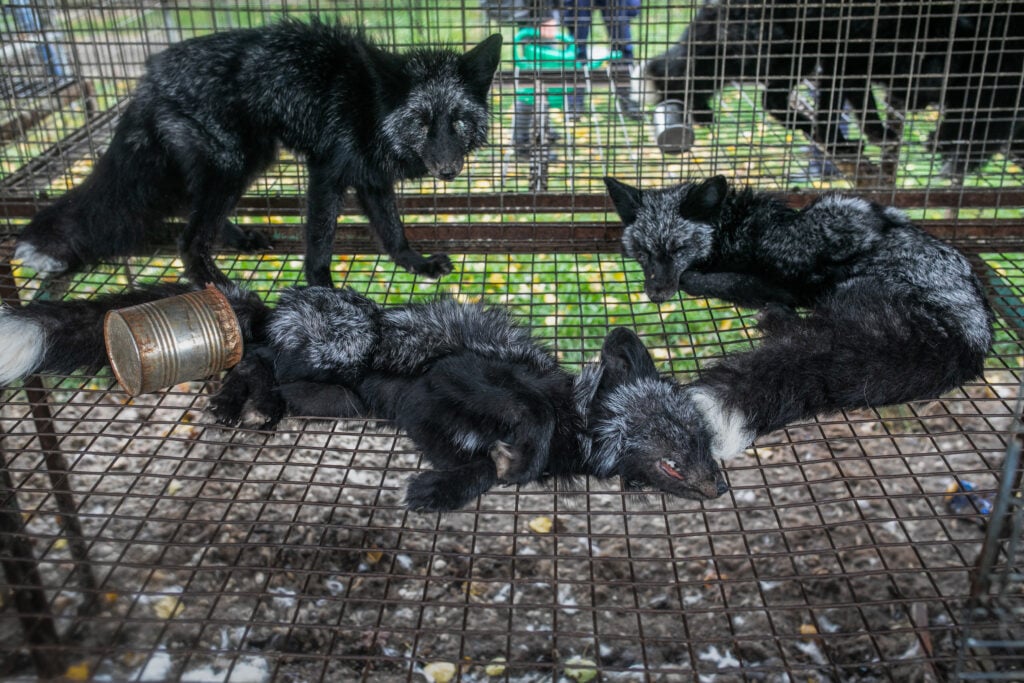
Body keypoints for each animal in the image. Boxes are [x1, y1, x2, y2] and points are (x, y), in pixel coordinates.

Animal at [0, 282, 729, 511]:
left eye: (706, 438)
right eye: (680, 437)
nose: (721, 485)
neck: (578, 422)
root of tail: (279, 305)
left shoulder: (426, 422)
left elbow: (477, 471)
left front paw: (442, 490)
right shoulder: (454, 379)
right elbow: (527, 422)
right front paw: (515, 457)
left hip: (332, 397)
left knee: (267, 372)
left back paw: (256, 408)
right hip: (343, 344)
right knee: (257, 355)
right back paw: (233, 402)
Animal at [12, 15, 499, 288]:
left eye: (458, 121)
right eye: (420, 122)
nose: (448, 169)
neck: (368, 109)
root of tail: (148, 78)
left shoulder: (372, 179)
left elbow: (393, 232)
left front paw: (414, 263)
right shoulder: (327, 172)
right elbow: (319, 242)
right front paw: (323, 289)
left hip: (242, 161)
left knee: (191, 210)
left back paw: (237, 240)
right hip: (234, 162)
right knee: (188, 238)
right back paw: (218, 285)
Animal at [602, 175, 995, 464]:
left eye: (679, 248)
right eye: (643, 252)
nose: (656, 293)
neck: (734, 225)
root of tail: (970, 341)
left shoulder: (788, 278)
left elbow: (720, 280)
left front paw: (696, 279)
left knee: (806, 327)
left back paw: (774, 317)